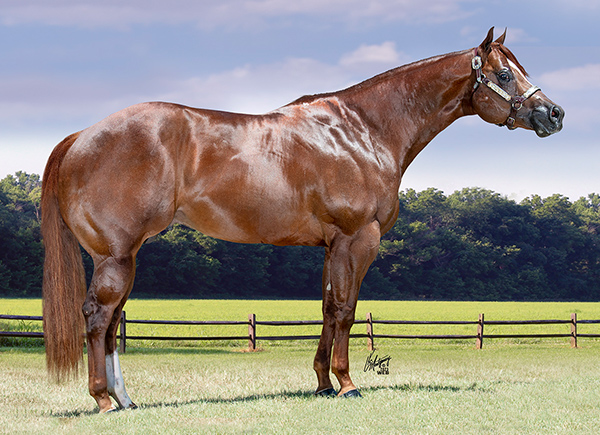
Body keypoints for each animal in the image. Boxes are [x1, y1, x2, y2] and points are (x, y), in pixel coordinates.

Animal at [41, 27, 563, 413]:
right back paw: (103, 400)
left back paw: (126, 400)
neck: (364, 130)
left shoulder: (333, 246)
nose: (553, 114)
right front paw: (348, 384)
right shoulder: (358, 239)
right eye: (504, 74)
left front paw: (322, 384)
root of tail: (80, 136)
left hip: (125, 257)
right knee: (99, 317)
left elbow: (328, 308)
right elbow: (347, 311)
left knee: (111, 323)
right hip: (116, 256)